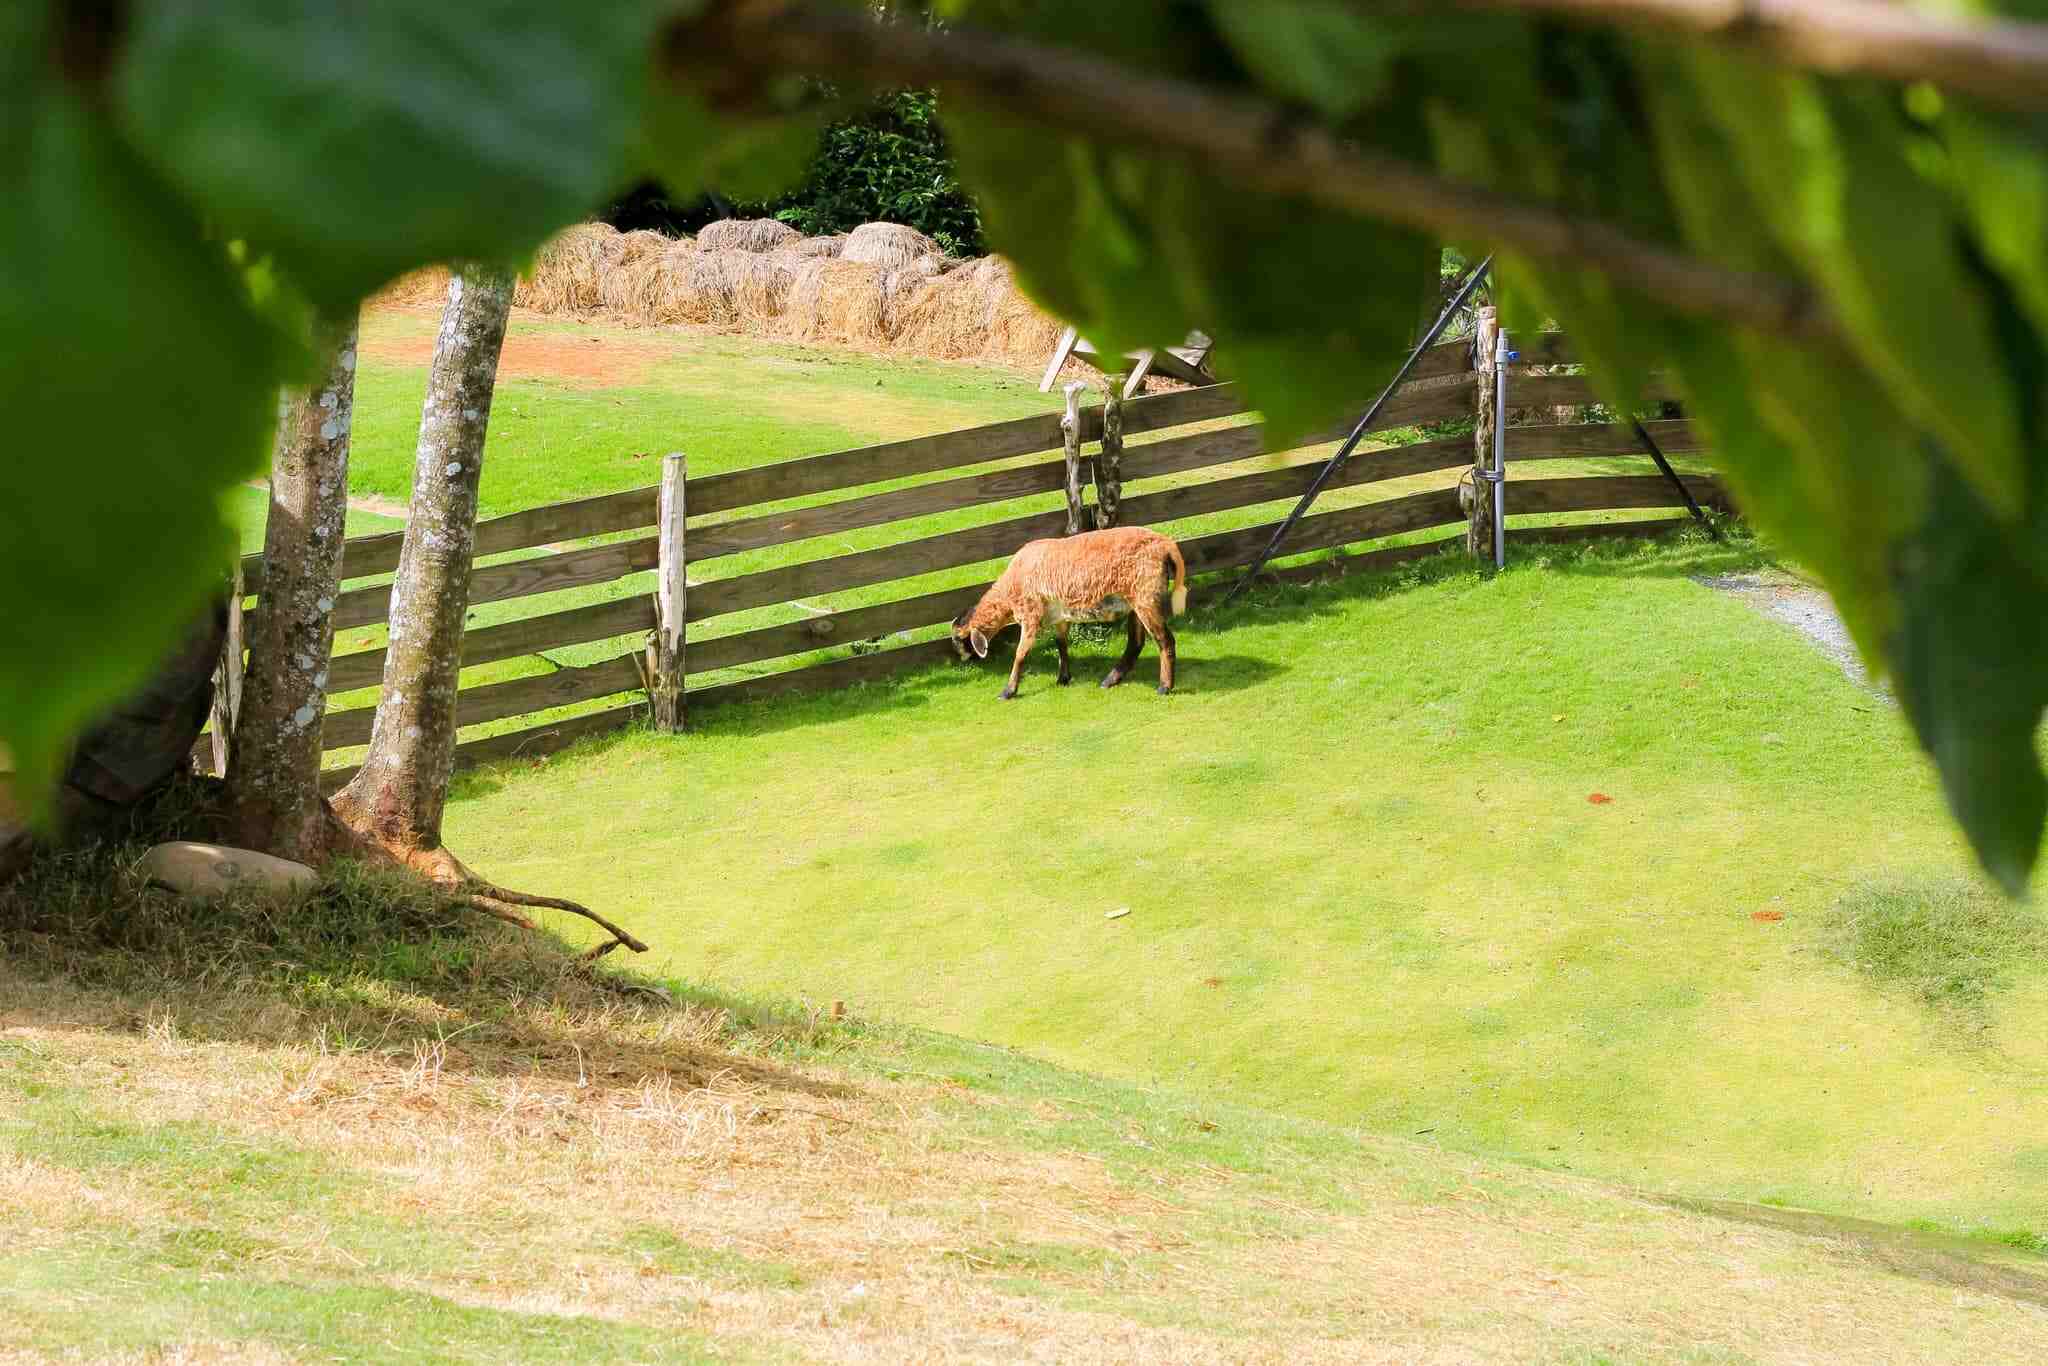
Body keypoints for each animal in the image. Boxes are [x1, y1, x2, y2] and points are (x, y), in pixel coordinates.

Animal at [946, 524, 1187, 696]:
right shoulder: (1059, 616)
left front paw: (1008, 691)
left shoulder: (1030, 613)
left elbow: (1020, 653)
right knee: (1136, 643)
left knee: (1165, 640)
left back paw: (1164, 687)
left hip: (1146, 597)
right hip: (1135, 601)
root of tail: (1166, 544)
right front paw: (1063, 678)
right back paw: (1110, 680)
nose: (962, 660)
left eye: (959, 639)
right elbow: (1061, 644)